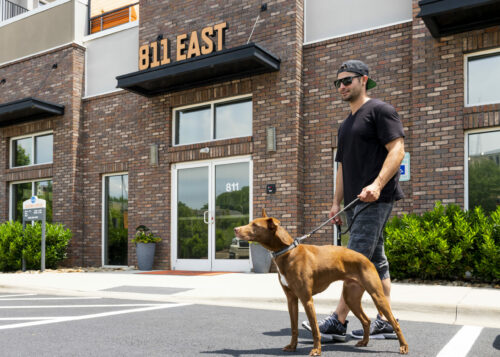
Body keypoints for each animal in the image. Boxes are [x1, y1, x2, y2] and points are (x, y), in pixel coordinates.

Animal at [233, 210, 406, 354]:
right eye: (250, 222)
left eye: (255, 225)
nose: (235, 229)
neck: (287, 252)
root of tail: (366, 259)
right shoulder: (291, 299)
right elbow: (294, 327)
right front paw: (292, 346)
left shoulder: (306, 299)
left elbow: (315, 329)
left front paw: (316, 350)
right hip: (351, 297)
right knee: (366, 320)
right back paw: (364, 342)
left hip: (377, 295)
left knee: (394, 323)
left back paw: (403, 346)